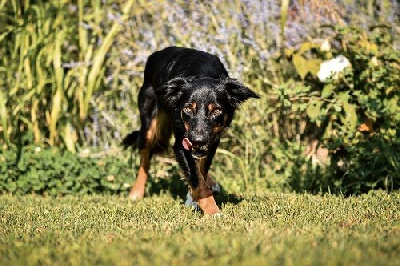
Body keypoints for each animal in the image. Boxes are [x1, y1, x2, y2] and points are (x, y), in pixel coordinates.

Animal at [122, 46, 260, 215]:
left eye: (216, 110)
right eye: (188, 108)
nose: (198, 140)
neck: (203, 72)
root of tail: (157, 54)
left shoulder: (212, 140)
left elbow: (201, 172)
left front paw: (194, 199)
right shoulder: (182, 143)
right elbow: (197, 180)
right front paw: (213, 212)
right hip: (149, 124)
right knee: (145, 158)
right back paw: (136, 192)